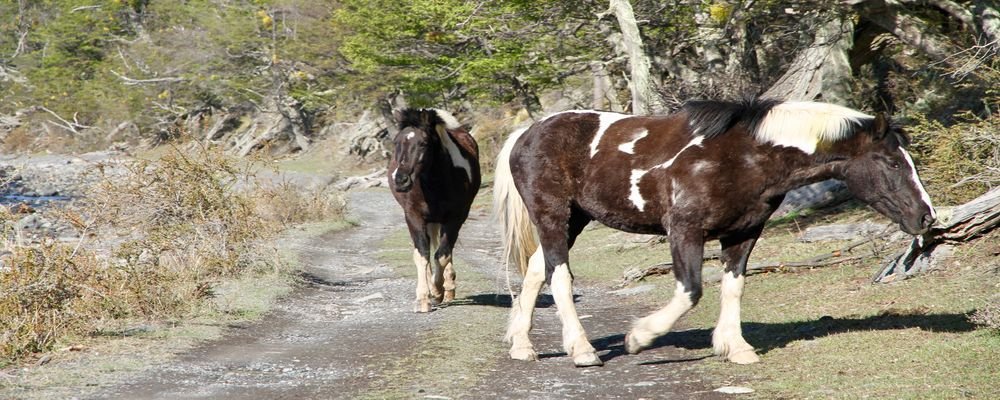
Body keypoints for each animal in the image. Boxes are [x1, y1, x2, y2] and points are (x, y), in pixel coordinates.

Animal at [386, 108, 480, 312]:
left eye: (423, 143)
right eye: (396, 142)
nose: (400, 180)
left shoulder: (455, 218)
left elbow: (442, 255)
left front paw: (438, 291)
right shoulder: (414, 217)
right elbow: (422, 255)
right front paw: (423, 299)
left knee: (445, 250)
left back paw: (448, 287)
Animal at [492, 97, 936, 366]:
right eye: (892, 163)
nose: (927, 217)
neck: (743, 156)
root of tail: (527, 133)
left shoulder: (743, 234)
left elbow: (733, 287)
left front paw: (735, 346)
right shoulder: (683, 231)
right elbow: (690, 291)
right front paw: (639, 337)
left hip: (575, 220)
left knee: (537, 270)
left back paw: (523, 345)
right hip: (553, 215)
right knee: (559, 276)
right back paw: (582, 350)